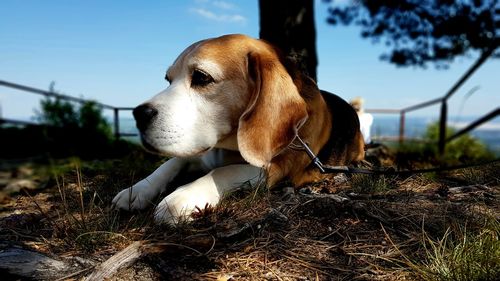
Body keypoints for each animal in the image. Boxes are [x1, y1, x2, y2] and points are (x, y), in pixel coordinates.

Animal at [113, 34, 364, 223]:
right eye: (168, 79)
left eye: (201, 77)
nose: (138, 115)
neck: (226, 146)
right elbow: (171, 163)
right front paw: (138, 190)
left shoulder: (276, 169)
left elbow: (224, 171)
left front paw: (182, 196)